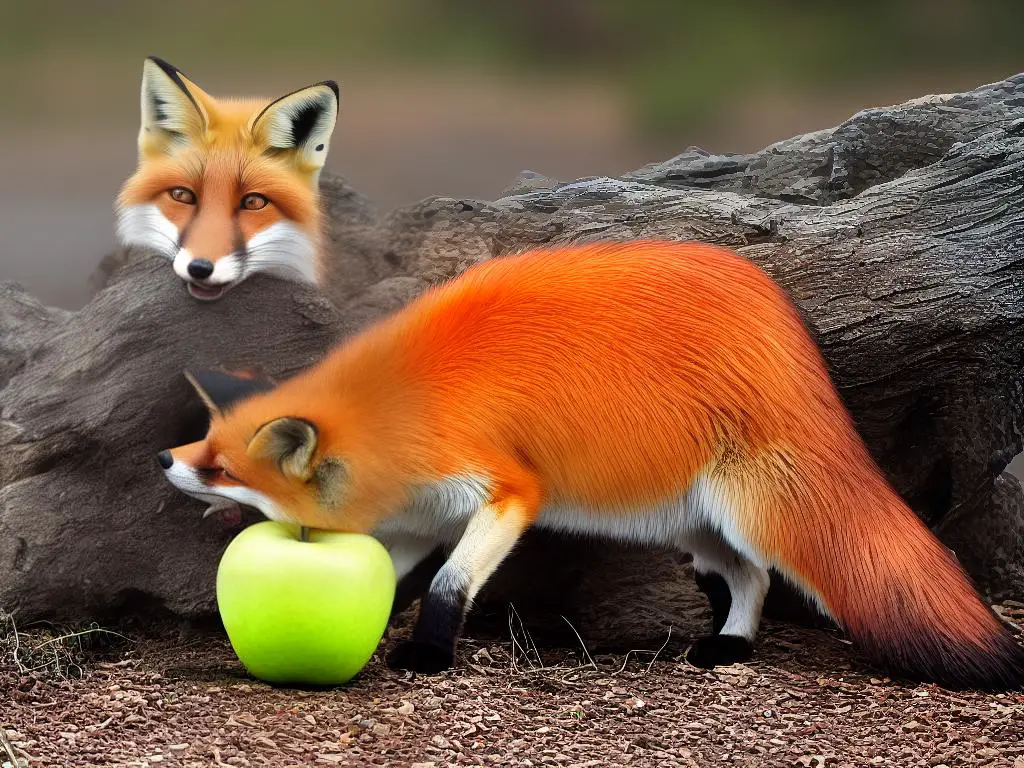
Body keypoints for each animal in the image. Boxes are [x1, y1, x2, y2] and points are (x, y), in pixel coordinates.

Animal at [153, 241, 1024, 692]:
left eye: (222, 467)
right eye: (204, 445)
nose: (164, 456)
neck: (409, 407)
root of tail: (783, 327)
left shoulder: (507, 492)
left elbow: (450, 583)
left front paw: (428, 652)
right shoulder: (423, 517)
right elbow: (396, 576)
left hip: (747, 510)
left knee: (768, 570)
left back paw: (732, 648)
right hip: (694, 528)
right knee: (748, 579)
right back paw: (727, 645)